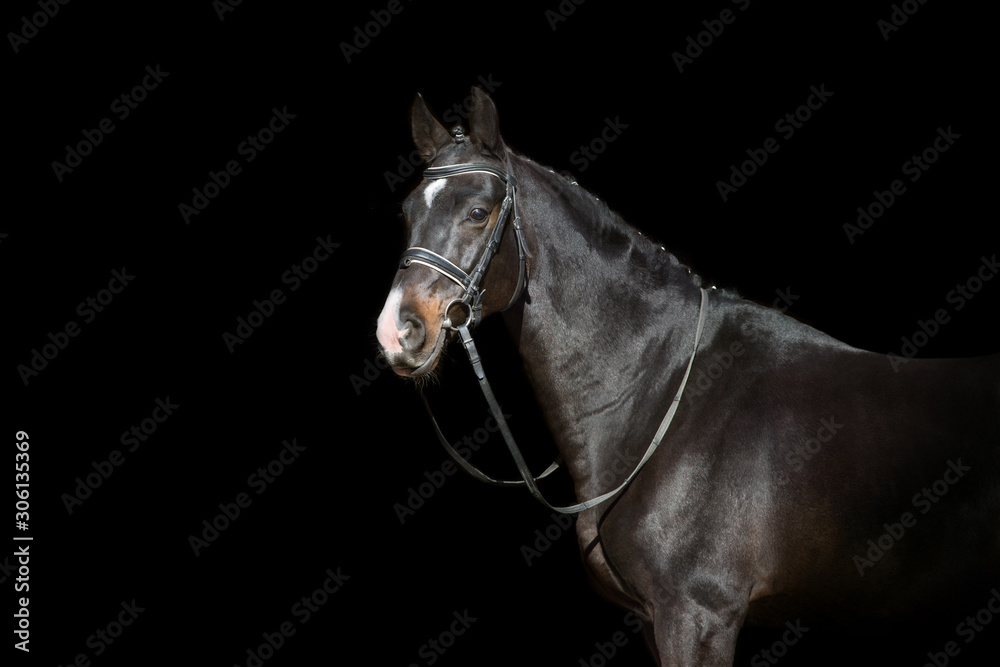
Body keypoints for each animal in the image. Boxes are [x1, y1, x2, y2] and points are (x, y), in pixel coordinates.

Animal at [374, 87, 1000, 665]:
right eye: (406, 213)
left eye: (478, 212)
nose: (397, 331)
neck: (663, 399)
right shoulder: (657, 619)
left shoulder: (697, 615)